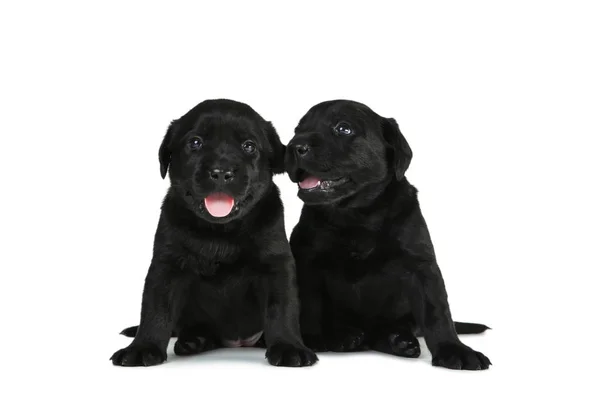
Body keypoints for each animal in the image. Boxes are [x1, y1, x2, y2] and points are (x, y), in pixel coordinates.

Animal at [113, 98, 318, 368]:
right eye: (195, 143)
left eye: (249, 146)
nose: (221, 172)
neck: (221, 232)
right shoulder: (166, 265)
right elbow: (155, 308)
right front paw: (142, 347)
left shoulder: (275, 264)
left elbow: (281, 307)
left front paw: (289, 346)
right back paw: (194, 341)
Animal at [286, 101, 492, 370]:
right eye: (298, 129)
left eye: (343, 128)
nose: (294, 146)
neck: (357, 215)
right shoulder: (308, 262)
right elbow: (310, 307)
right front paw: (314, 340)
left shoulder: (421, 265)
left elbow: (437, 312)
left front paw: (453, 349)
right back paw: (346, 337)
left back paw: (398, 341)